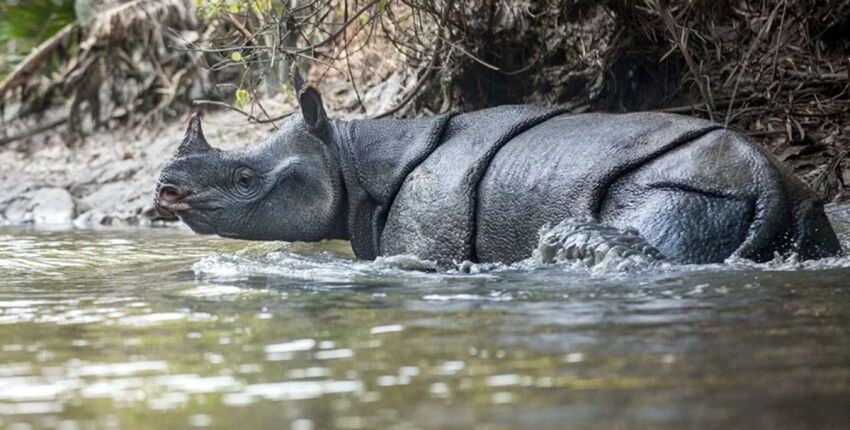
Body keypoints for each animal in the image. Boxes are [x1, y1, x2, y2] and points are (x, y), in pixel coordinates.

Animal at [154, 74, 840, 268]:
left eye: (247, 180)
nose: (165, 190)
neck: (350, 156)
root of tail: (767, 181)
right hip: (798, 204)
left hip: (689, 185)